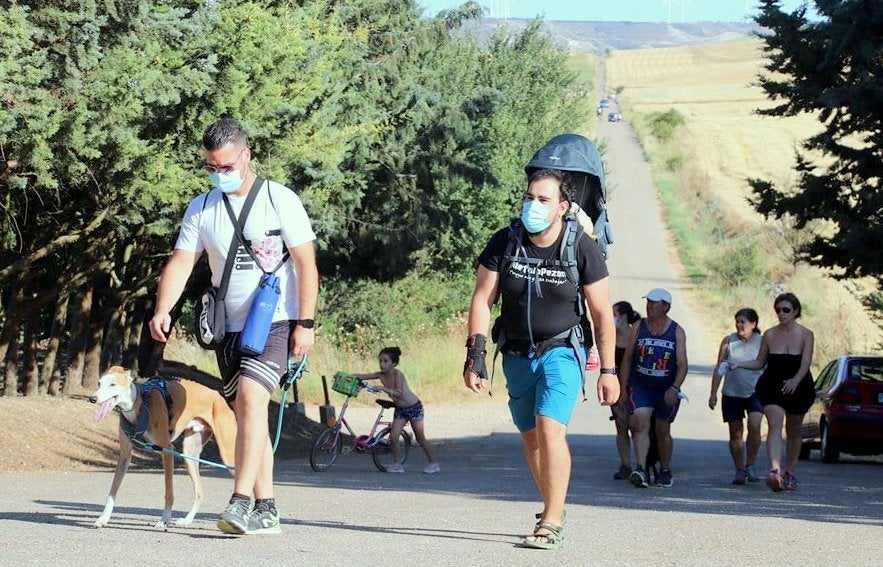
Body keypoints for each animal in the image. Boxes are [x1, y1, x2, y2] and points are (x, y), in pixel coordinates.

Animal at [90, 366, 237, 532]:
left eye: (112, 384)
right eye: (99, 383)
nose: (92, 398)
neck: (139, 405)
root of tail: (217, 395)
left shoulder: (167, 450)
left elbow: (169, 492)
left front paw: (164, 520)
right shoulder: (125, 455)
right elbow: (112, 490)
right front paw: (103, 518)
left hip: (228, 454)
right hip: (189, 453)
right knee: (200, 491)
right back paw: (187, 520)